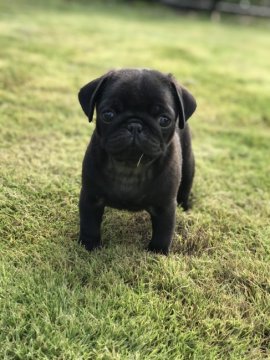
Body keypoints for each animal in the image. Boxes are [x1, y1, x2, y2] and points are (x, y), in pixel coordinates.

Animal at [78, 67, 196, 253]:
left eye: (164, 120)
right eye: (108, 115)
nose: (135, 125)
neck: (130, 166)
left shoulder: (165, 206)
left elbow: (163, 232)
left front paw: (158, 252)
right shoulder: (91, 197)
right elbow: (89, 224)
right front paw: (89, 246)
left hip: (189, 168)